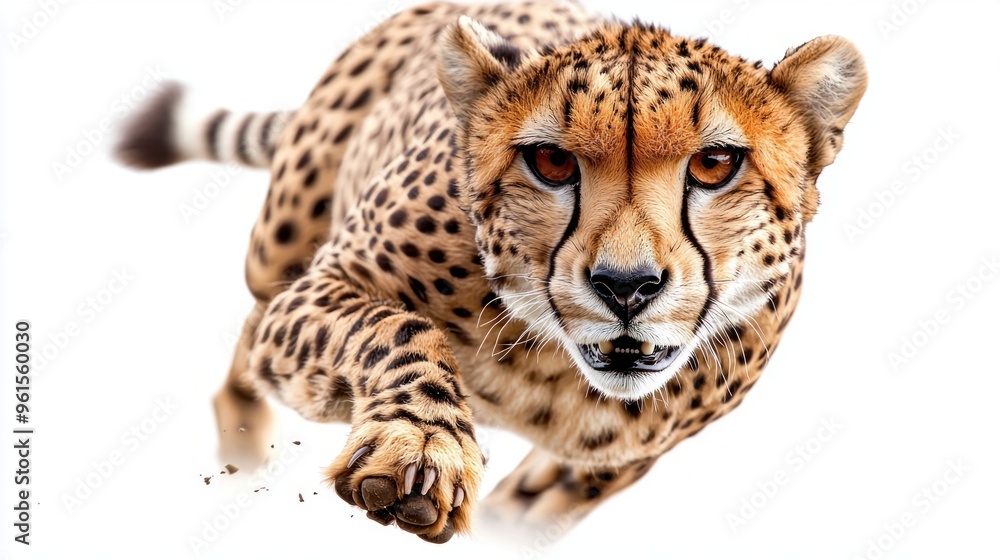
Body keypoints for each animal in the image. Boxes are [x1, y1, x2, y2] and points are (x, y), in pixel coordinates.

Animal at [115, 0, 866, 544]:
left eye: (714, 165)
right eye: (552, 162)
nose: (626, 286)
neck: (551, 369)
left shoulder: (608, 463)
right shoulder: (325, 288)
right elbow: (395, 327)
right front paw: (421, 447)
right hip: (279, 246)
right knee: (247, 339)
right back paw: (241, 453)